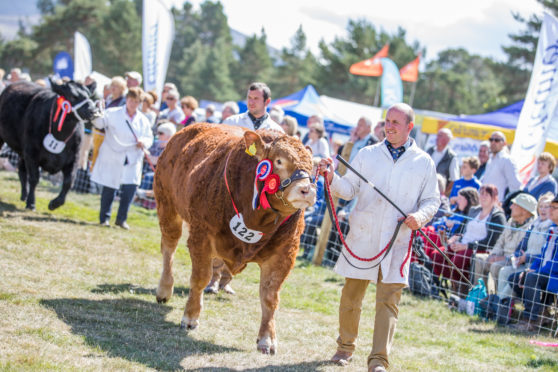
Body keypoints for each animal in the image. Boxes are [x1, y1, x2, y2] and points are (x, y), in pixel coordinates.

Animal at [0, 79, 99, 211]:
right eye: (73, 96)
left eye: (89, 96)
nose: (93, 111)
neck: (60, 133)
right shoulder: (32, 153)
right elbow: (34, 178)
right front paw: (31, 203)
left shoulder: (74, 158)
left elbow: (69, 181)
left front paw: (55, 203)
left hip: (22, 151)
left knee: (21, 169)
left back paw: (24, 195)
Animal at [155, 123, 318, 354]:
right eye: (279, 161)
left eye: (312, 167)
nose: (307, 190)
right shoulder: (201, 236)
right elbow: (199, 277)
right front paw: (190, 317)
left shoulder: (285, 252)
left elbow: (270, 295)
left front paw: (267, 339)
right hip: (167, 204)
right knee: (168, 248)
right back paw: (164, 289)